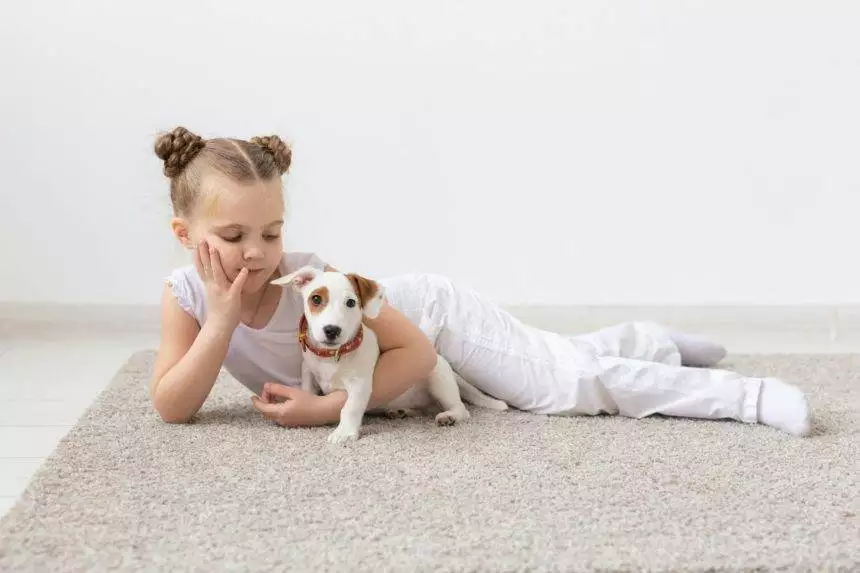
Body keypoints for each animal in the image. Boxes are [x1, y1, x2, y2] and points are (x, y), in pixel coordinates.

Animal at [272, 264, 508, 442]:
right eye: (316, 299)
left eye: (351, 303)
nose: (332, 330)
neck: (332, 357)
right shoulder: (308, 371)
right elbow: (308, 390)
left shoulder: (360, 384)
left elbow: (349, 407)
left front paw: (344, 432)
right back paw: (400, 411)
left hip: (438, 379)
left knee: (461, 408)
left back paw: (449, 416)